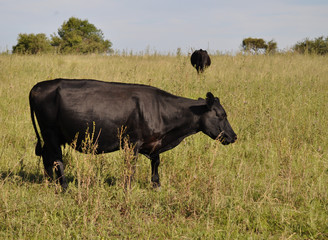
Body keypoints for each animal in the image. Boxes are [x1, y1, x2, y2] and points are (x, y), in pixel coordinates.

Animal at [30, 79, 236, 189]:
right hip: (50, 133)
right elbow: (131, 167)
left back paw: (50, 182)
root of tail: (39, 86)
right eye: (221, 115)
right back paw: (64, 186)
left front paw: (156, 185)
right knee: (56, 160)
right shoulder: (132, 143)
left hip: (50, 137)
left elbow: (156, 162)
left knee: (47, 159)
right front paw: (128, 188)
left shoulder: (154, 143)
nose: (234, 136)